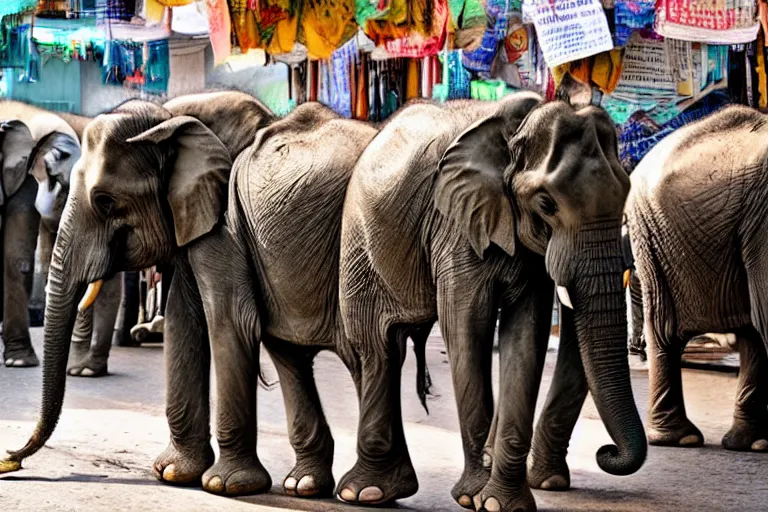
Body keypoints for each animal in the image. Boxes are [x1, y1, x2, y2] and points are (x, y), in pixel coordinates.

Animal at [340, 93, 644, 512]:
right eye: (546, 204)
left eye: (625, 193)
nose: (606, 452)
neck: (515, 135)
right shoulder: (455, 225)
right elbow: (468, 326)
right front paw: (472, 496)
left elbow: (527, 335)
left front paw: (501, 503)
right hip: (360, 243)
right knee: (377, 348)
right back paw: (365, 493)